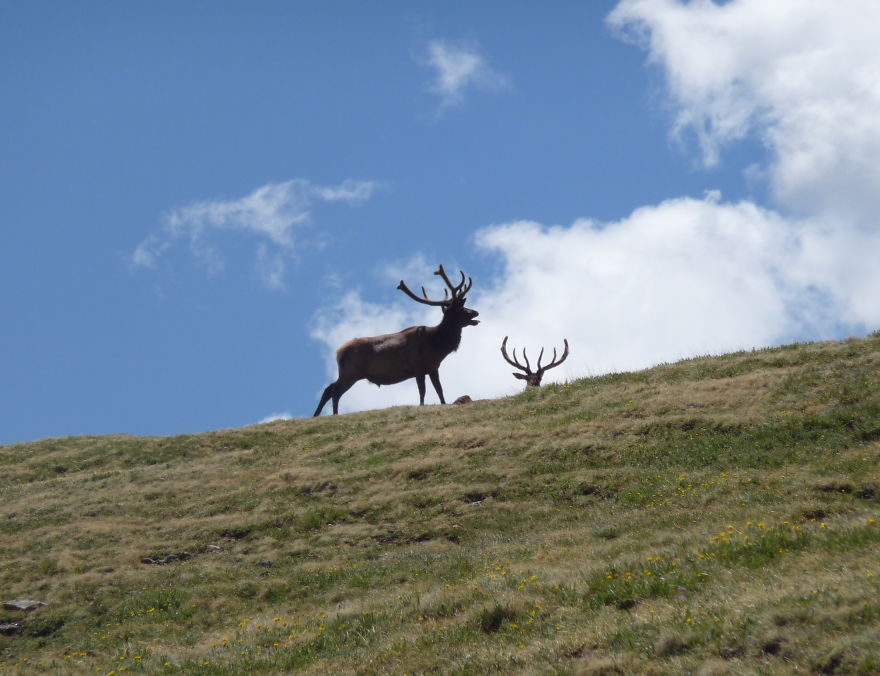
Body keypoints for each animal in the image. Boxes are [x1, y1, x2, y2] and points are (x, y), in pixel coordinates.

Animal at [313, 265, 479, 416]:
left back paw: (316, 414)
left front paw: (443, 404)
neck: (438, 344)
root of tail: (339, 352)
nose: (475, 312)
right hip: (351, 372)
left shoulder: (433, 367)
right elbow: (423, 392)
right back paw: (334, 414)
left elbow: (440, 390)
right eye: (460, 309)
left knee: (328, 388)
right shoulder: (419, 367)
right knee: (335, 391)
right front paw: (422, 407)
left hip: (346, 373)